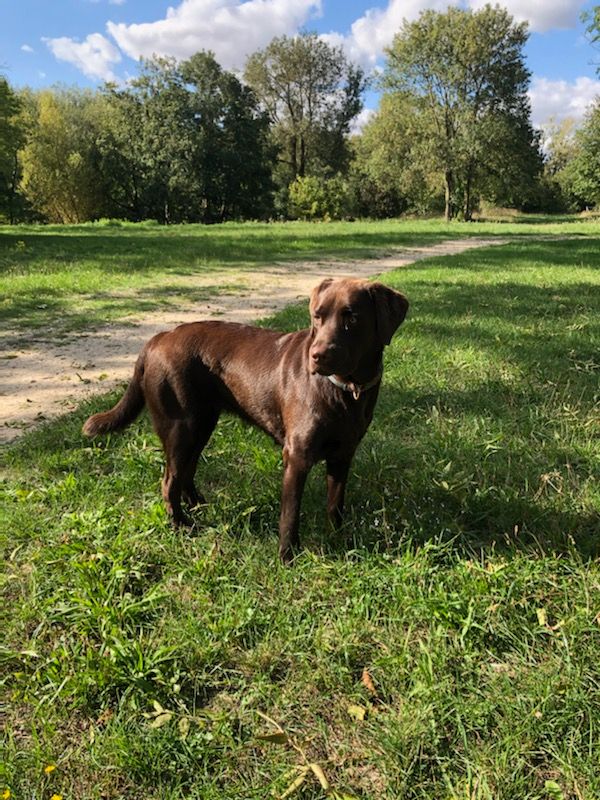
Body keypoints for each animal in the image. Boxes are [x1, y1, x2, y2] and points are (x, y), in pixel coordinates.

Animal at [83, 280, 408, 564]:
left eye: (352, 317)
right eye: (318, 316)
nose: (317, 356)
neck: (347, 389)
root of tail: (158, 338)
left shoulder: (343, 455)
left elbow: (335, 504)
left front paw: (338, 538)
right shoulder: (297, 456)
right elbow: (290, 514)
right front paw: (287, 557)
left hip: (201, 425)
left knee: (186, 472)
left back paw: (199, 506)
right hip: (180, 426)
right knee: (169, 481)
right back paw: (182, 525)